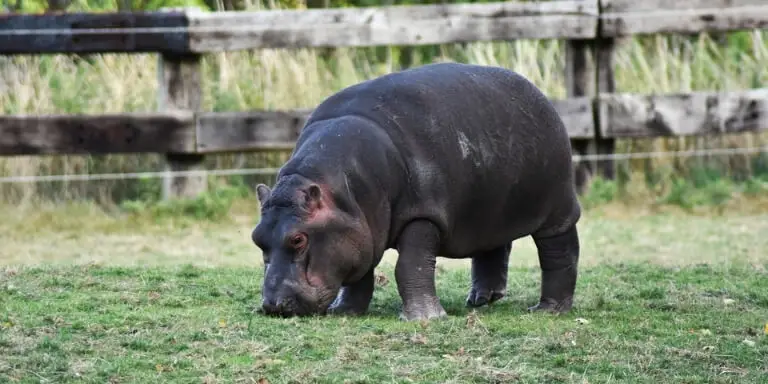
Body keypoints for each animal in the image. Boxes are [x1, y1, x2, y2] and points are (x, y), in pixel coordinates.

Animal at [252, 62, 584, 320]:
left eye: (298, 239)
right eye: (256, 238)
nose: (274, 305)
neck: (342, 193)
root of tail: (539, 94)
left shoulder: (423, 214)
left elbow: (411, 265)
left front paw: (425, 318)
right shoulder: (360, 229)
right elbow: (359, 273)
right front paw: (344, 312)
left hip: (557, 205)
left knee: (559, 251)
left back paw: (548, 310)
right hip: (490, 209)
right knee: (493, 247)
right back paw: (480, 299)